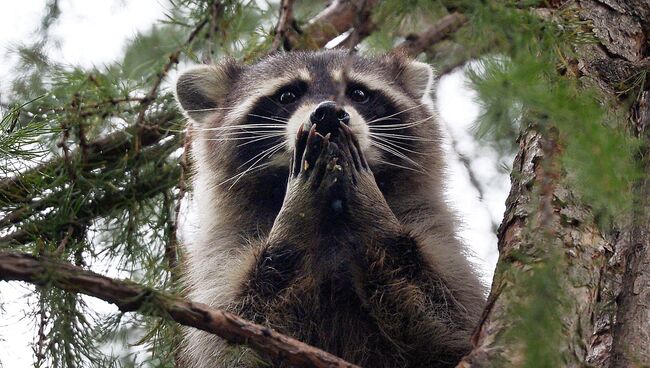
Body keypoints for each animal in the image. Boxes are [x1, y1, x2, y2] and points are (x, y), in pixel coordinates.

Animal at [175, 49, 484, 368]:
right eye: (287, 95)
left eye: (359, 93)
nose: (330, 113)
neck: (332, 214)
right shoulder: (225, 248)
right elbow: (235, 339)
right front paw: (294, 220)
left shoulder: (431, 225)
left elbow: (447, 324)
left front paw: (375, 215)